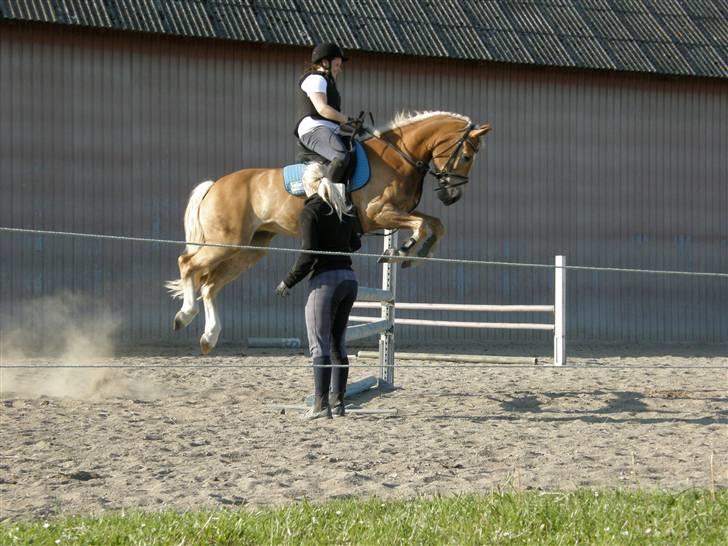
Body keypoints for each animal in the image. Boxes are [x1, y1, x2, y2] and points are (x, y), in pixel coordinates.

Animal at [168, 110, 492, 352]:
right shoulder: (378, 214)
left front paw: (417, 253)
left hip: (250, 249)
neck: (399, 157)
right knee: (188, 265)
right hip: (226, 242)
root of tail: (215, 185)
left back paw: (209, 337)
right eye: (466, 156)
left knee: (210, 285)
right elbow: (422, 225)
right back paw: (184, 315)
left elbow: (436, 225)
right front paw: (403, 249)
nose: (451, 196)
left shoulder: (395, 213)